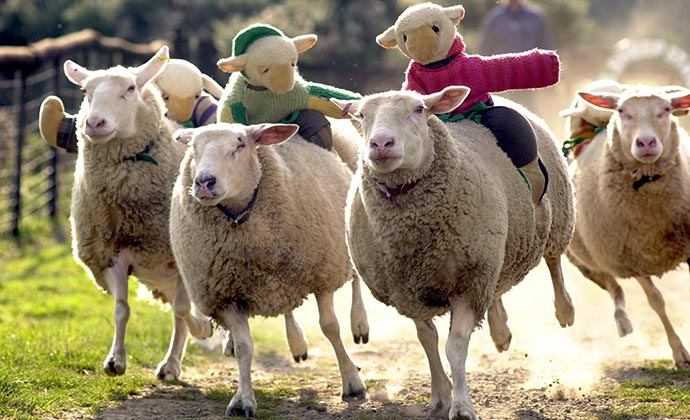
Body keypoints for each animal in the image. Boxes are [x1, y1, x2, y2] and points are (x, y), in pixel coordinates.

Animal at [67, 46, 214, 380]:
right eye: (86, 92)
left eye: (130, 89)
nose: (94, 123)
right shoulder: (112, 252)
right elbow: (122, 309)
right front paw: (115, 360)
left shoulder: (181, 255)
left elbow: (183, 311)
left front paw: (203, 329)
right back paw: (171, 365)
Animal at [169, 121, 366, 416]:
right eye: (193, 147)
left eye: (240, 144)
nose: (204, 182)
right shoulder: (226, 294)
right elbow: (244, 347)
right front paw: (243, 400)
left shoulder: (321, 274)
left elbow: (330, 327)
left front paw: (352, 382)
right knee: (287, 309)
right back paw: (295, 343)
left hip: (346, 239)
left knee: (355, 279)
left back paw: (360, 323)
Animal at [330, 86, 572, 420]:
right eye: (362, 115)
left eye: (419, 109)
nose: (381, 144)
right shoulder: (409, 292)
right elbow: (428, 341)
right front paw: (440, 395)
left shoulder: (468, 284)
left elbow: (454, 346)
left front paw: (461, 407)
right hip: (493, 249)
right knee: (497, 289)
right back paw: (501, 332)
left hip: (555, 218)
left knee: (554, 261)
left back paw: (565, 310)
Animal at [560, 84, 688, 368]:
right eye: (622, 111)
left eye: (666, 109)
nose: (646, 142)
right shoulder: (631, 258)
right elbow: (656, 301)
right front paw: (680, 354)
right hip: (590, 258)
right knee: (613, 287)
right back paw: (622, 322)